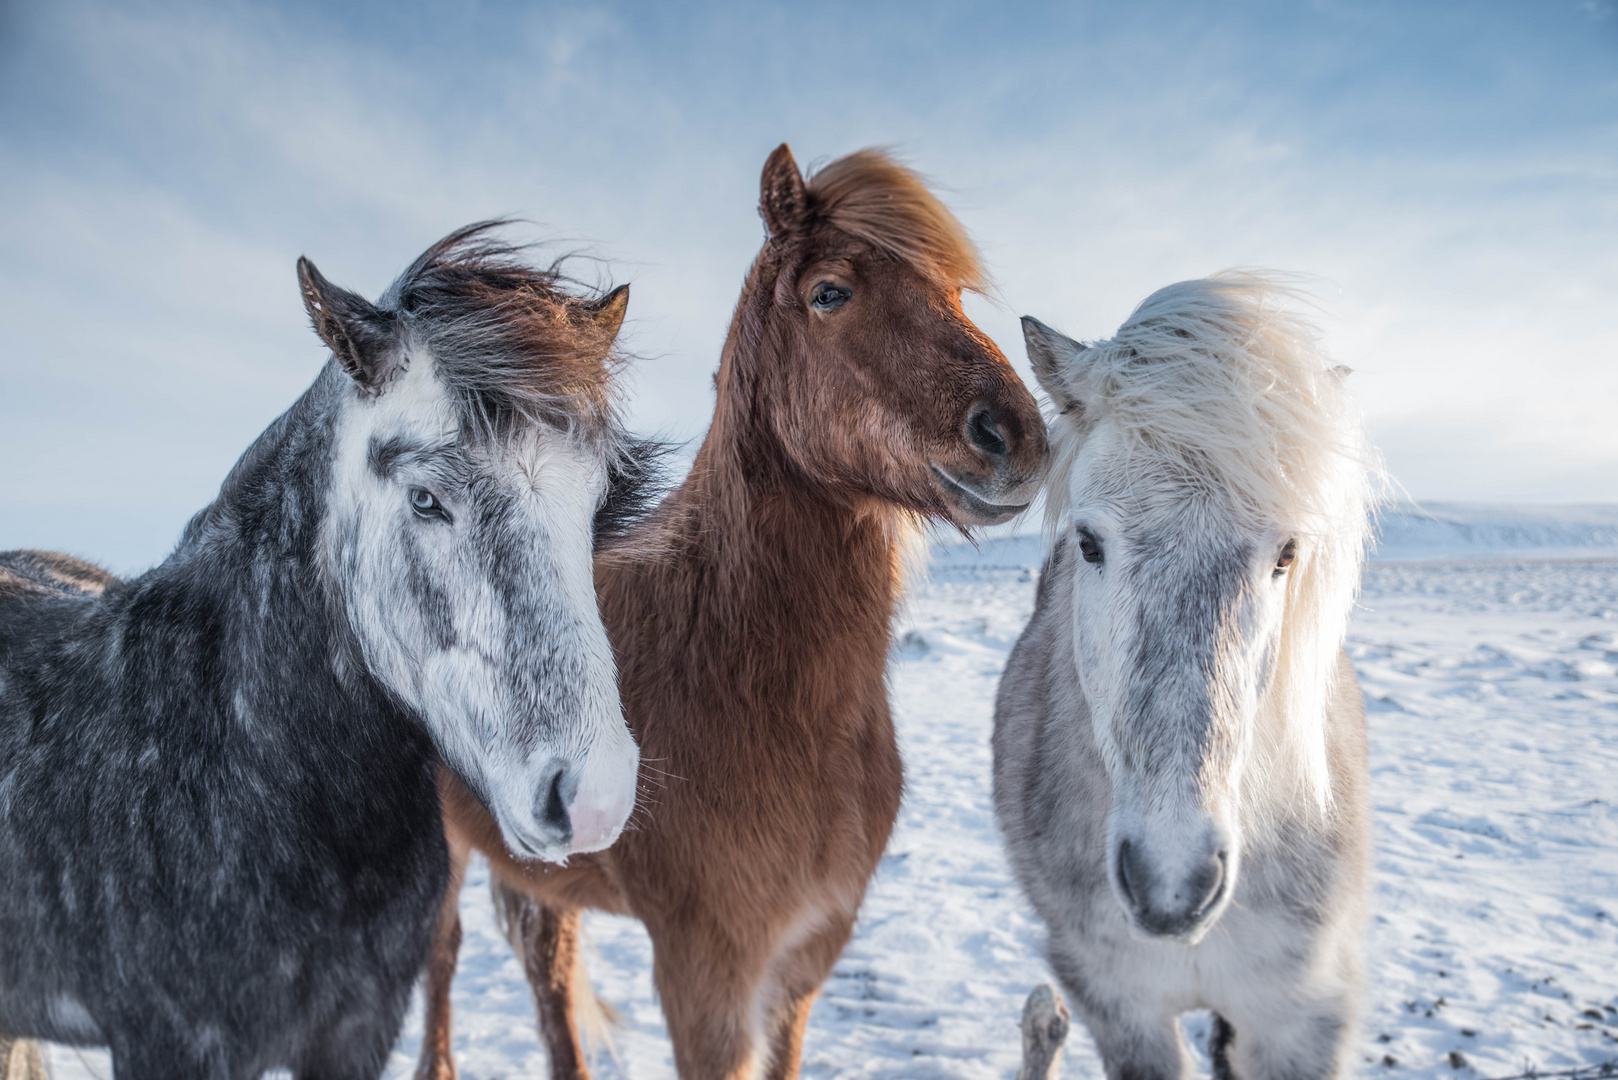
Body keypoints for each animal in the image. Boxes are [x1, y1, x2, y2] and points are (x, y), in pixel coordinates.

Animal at [414, 145, 1048, 1080]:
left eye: (956, 294)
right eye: (829, 292)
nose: (1017, 438)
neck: (733, 667)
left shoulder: (804, 962)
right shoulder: (706, 970)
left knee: (548, 973)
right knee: (445, 958)